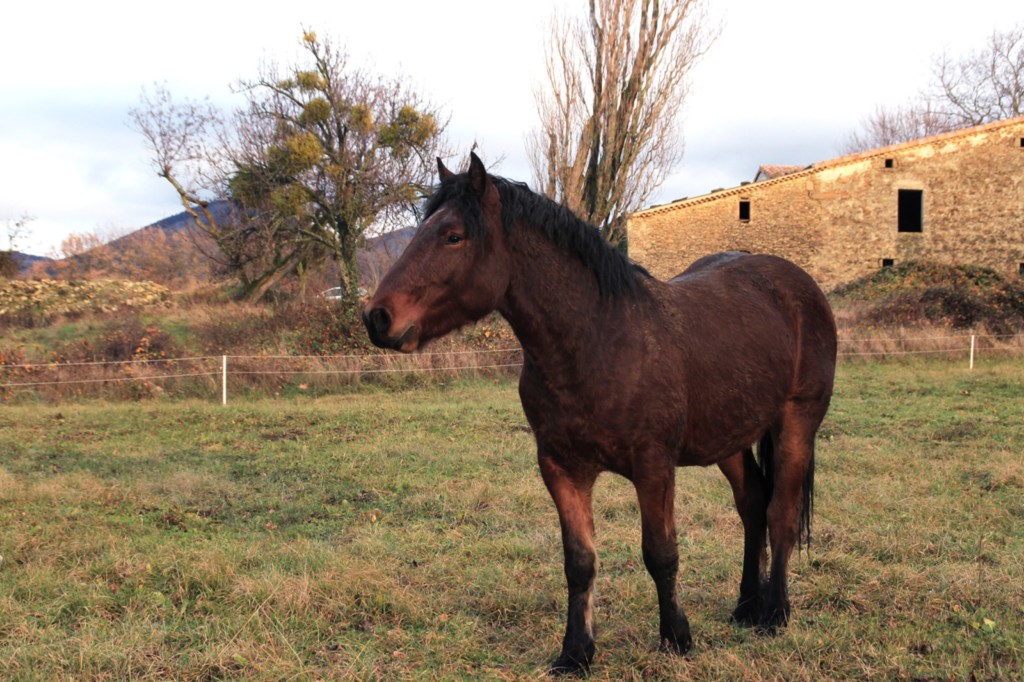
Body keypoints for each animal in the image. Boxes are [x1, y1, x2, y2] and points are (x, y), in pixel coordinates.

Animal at [363, 153, 837, 675]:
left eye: (453, 236)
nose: (377, 317)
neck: (596, 341)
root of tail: (799, 286)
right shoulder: (561, 469)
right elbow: (579, 562)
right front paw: (576, 652)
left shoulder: (653, 467)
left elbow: (660, 553)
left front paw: (676, 638)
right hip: (727, 439)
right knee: (753, 506)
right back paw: (746, 607)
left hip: (796, 425)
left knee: (780, 514)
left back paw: (774, 613)